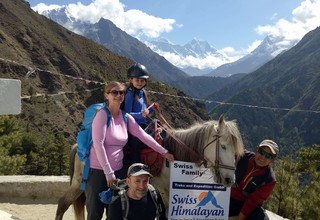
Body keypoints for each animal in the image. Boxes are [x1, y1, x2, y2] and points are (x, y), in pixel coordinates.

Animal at [55, 115, 245, 220]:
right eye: (223, 146)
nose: (230, 179)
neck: (173, 154)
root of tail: (77, 147)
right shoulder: (165, 191)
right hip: (80, 183)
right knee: (63, 203)